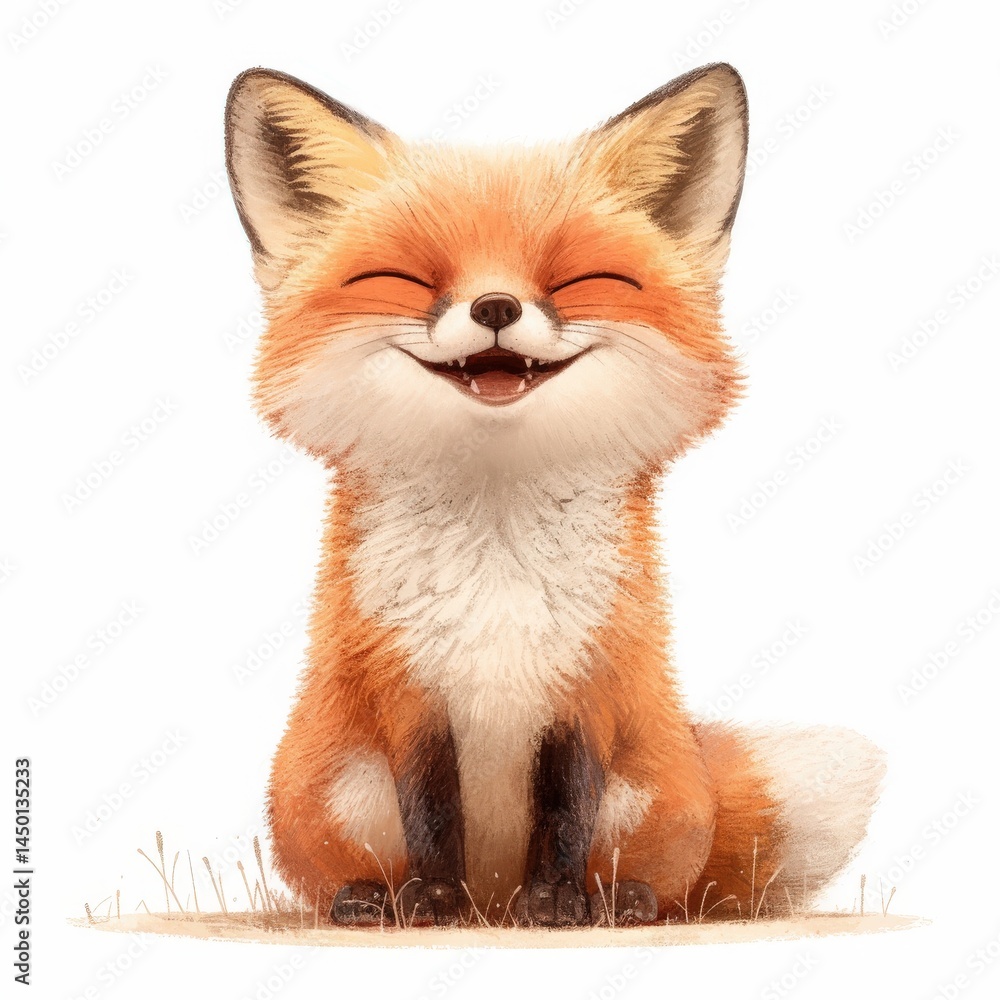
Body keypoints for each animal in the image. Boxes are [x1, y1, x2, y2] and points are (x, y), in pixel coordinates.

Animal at [223, 62, 886, 928]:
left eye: (582, 280)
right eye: (402, 279)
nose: (495, 307)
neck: (497, 560)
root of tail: (493, 898)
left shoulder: (590, 683)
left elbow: (567, 812)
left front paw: (561, 902)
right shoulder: (404, 687)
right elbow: (430, 811)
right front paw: (430, 902)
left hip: (648, 790)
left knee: (654, 873)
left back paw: (619, 899)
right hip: (341, 784)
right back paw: (375, 899)